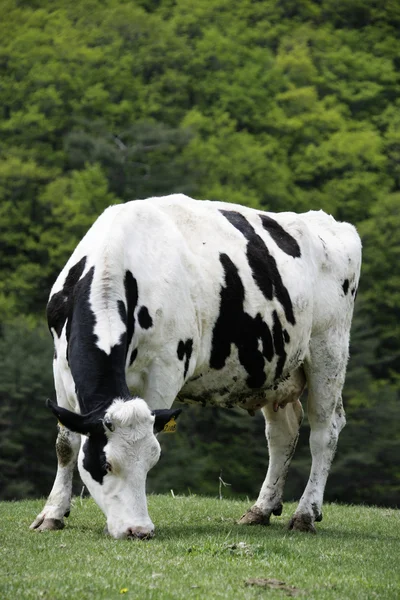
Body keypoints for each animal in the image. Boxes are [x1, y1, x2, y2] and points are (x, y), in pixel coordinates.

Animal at [30, 196, 362, 540]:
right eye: (106, 464)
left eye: (151, 461)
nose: (138, 530)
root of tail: (330, 222)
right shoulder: (61, 365)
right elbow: (66, 443)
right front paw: (52, 514)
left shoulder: (165, 369)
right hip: (274, 370)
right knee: (283, 432)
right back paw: (260, 509)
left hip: (329, 350)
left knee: (324, 432)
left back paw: (305, 514)